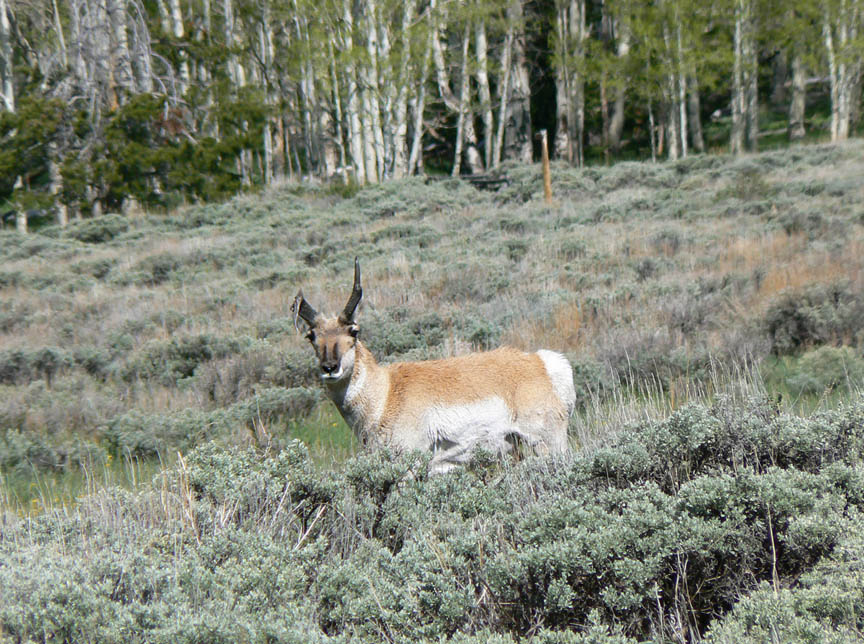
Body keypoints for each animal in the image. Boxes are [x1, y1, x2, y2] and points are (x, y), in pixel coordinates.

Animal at [294, 258, 576, 472]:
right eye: (311, 336)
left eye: (353, 331)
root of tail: (541, 362)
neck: (388, 392)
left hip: (548, 444)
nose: (330, 367)